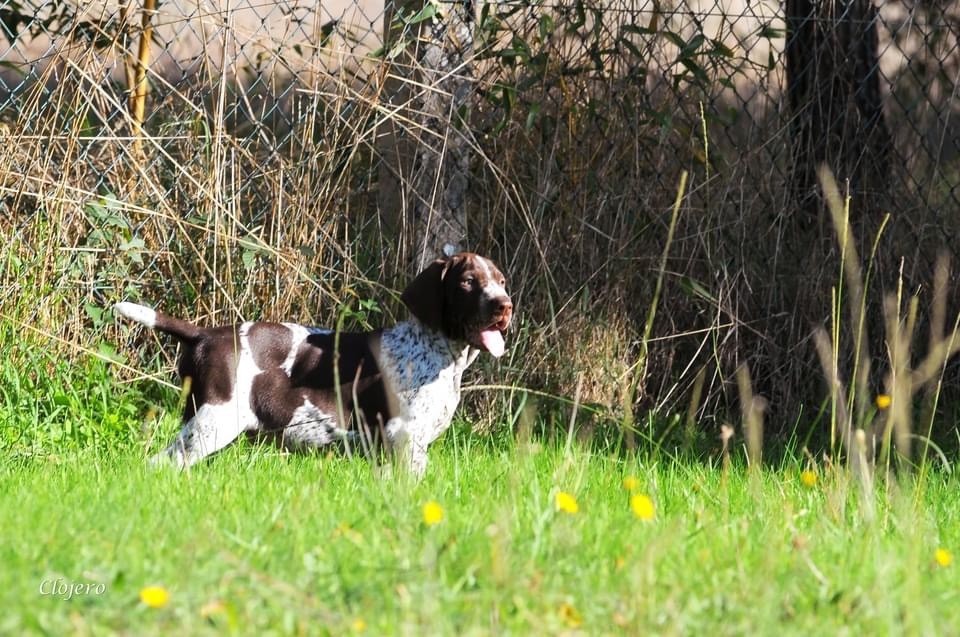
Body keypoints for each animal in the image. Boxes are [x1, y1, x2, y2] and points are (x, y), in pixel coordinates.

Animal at [115, 251, 512, 474]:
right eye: (467, 282)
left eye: (501, 281)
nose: (504, 306)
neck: (438, 350)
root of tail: (205, 335)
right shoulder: (405, 438)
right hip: (212, 423)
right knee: (162, 464)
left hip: (198, 422)